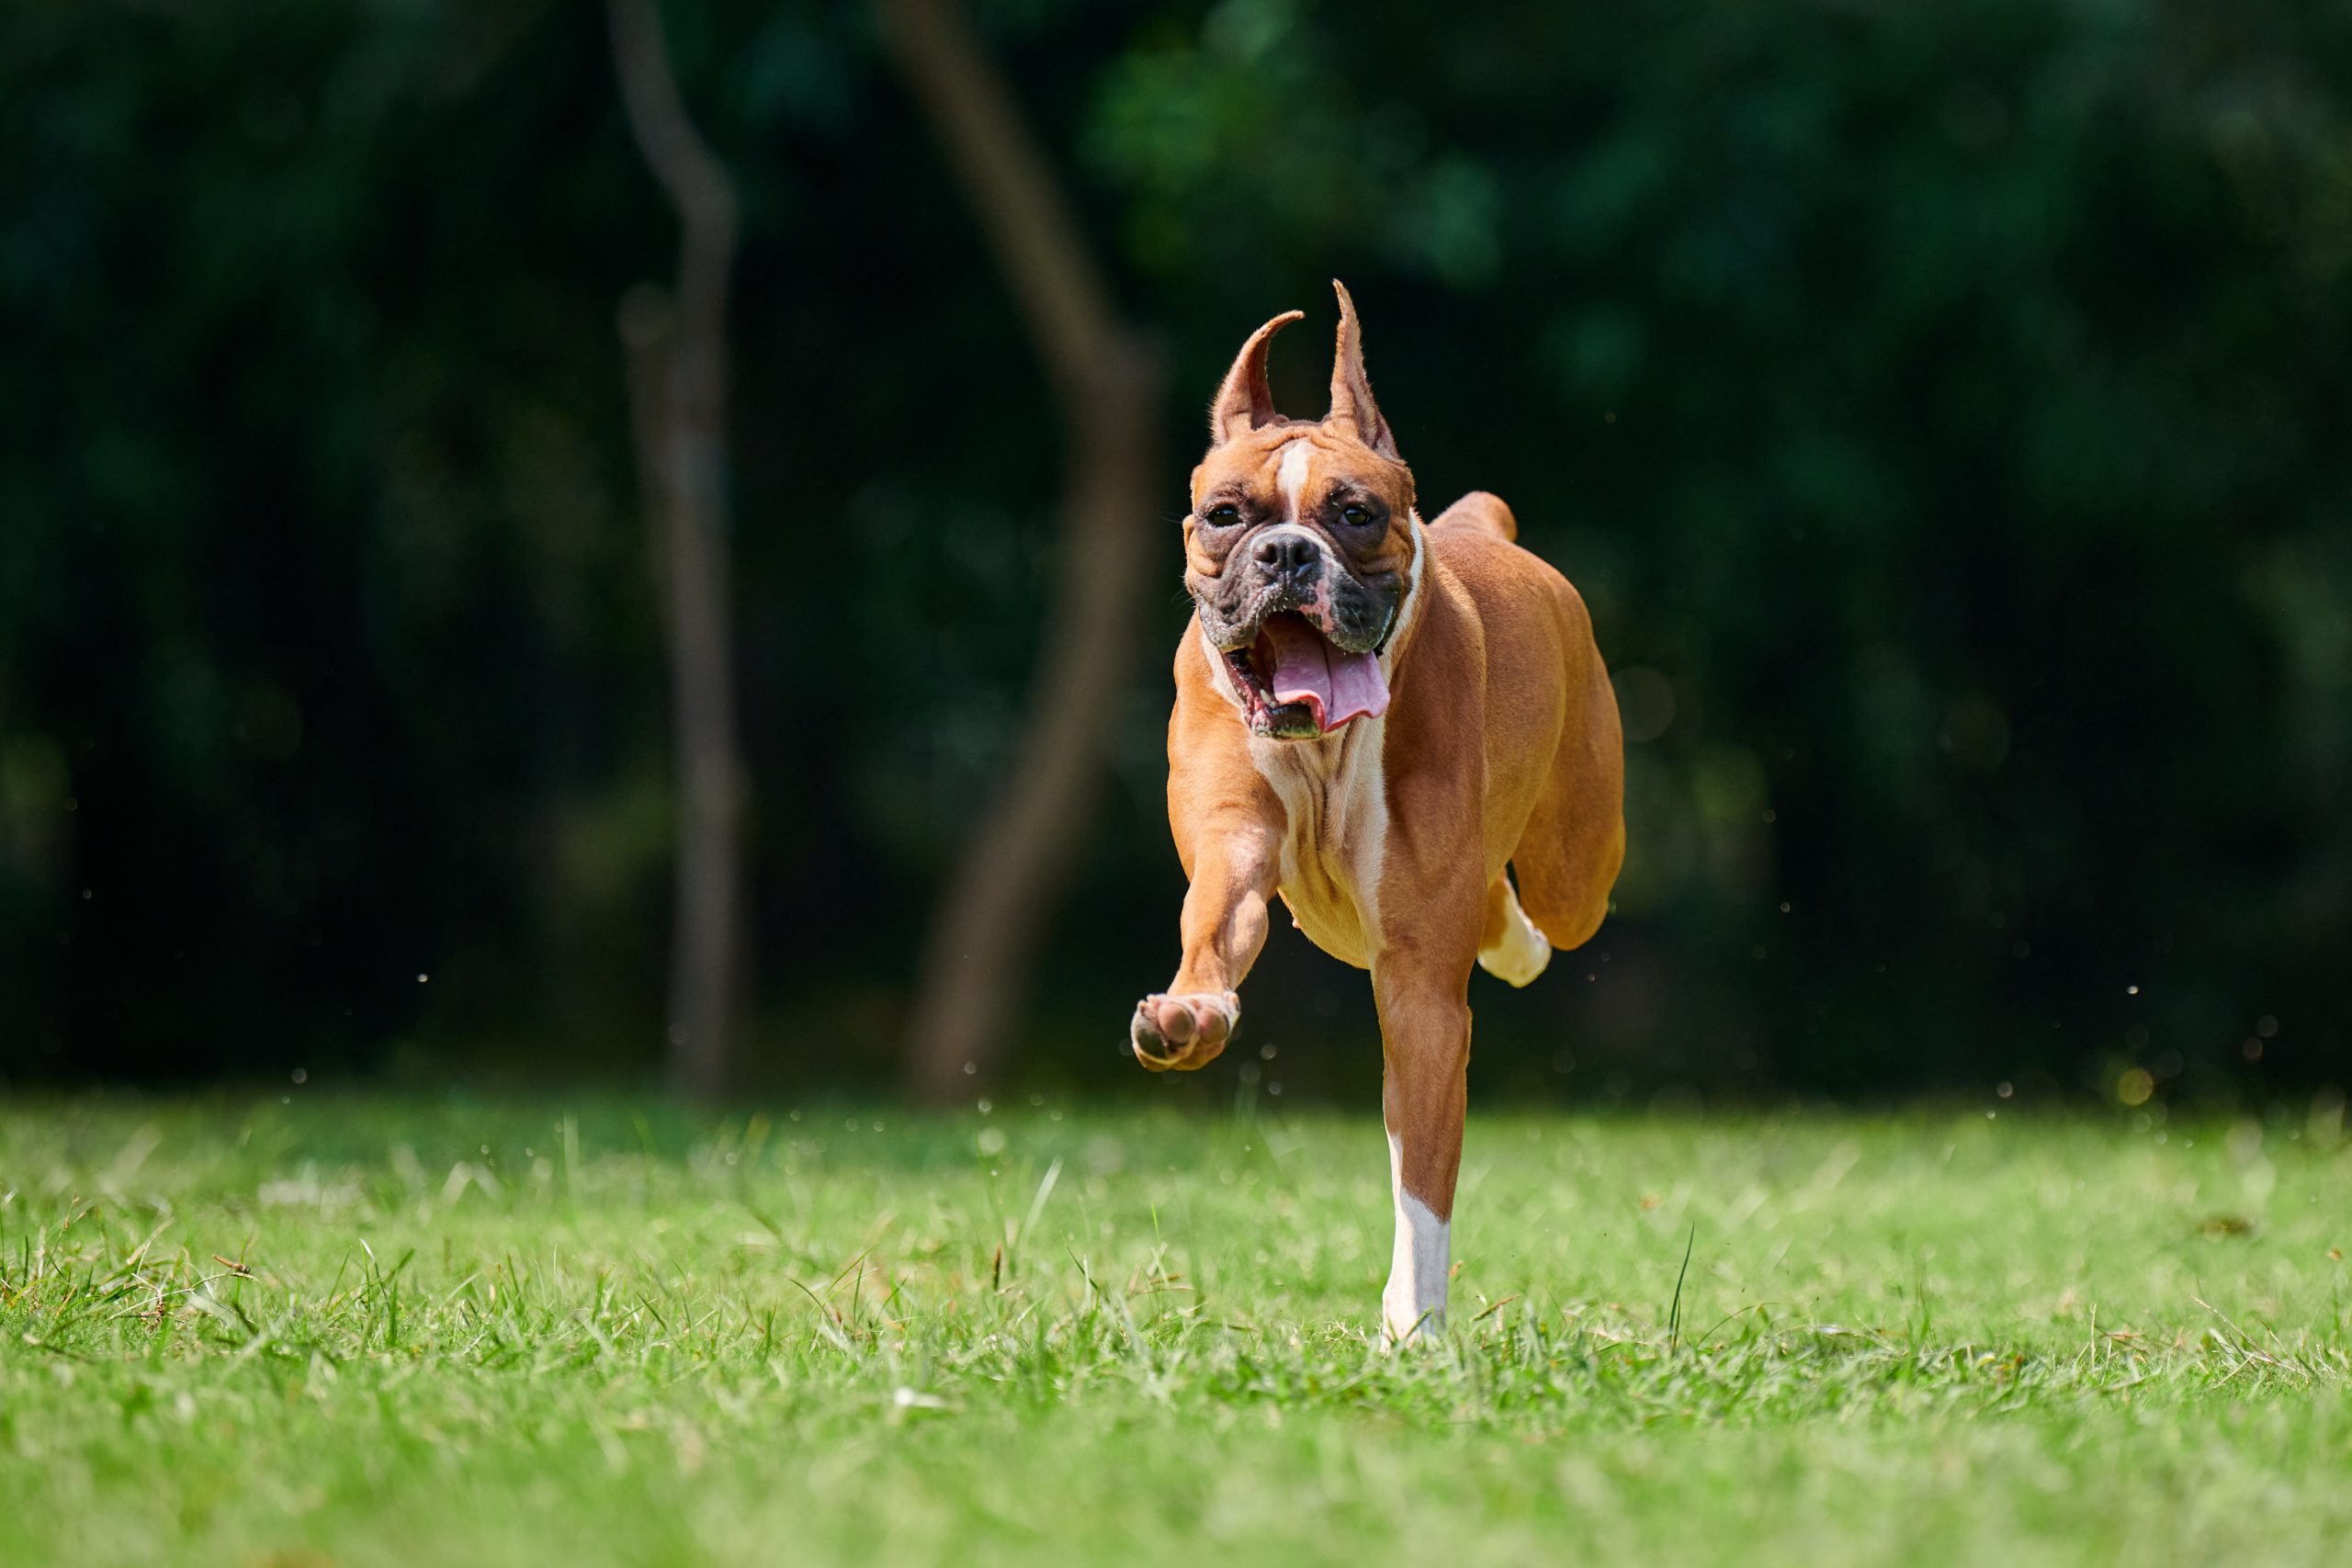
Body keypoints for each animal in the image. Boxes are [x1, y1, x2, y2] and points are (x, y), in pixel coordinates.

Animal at [1128, 285, 1627, 1354]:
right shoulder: (1231, 857)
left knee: (1538, 914)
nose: (1285, 552)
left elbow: (1423, 1191)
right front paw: (1191, 1013)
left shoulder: (1422, 1001)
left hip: (1578, 870)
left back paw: (1516, 941)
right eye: (1226, 516)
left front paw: (1416, 1329)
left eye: (1353, 514)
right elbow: (1215, 933)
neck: (1325, 751)